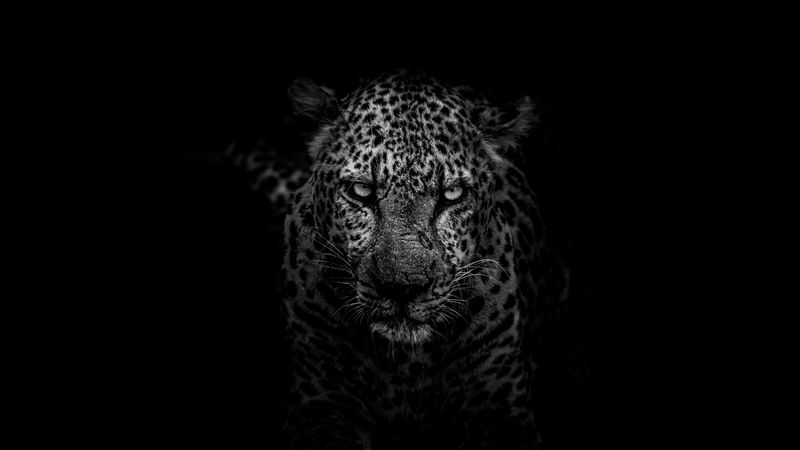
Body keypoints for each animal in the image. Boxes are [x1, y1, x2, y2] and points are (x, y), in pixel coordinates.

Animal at [229, 70, 569, 449]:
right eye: (362, 191)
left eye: (452, 194)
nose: (403, 288)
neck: (406, 365)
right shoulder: (319, 402)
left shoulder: (500, 406)